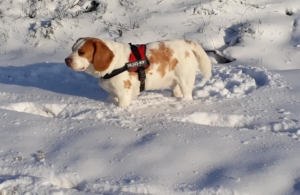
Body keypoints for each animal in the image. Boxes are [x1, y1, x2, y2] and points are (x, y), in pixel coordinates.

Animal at [64, 37, 212, 107]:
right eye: (72, 49)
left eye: (81, 52)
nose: (66, 60)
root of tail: (186, 42)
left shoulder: (124, 94)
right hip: (175, 84)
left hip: (185, 82)